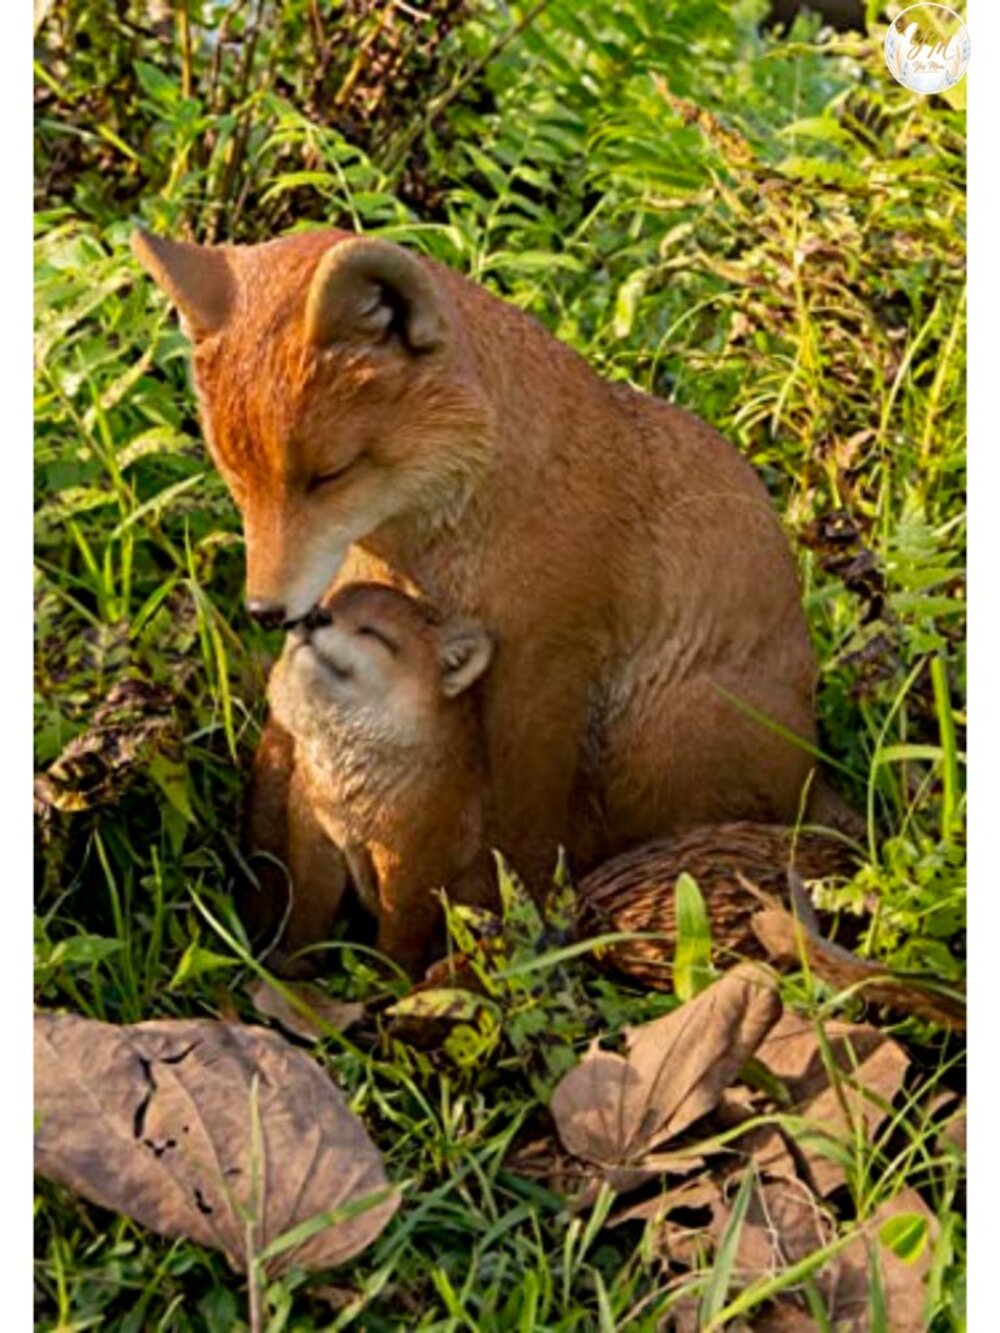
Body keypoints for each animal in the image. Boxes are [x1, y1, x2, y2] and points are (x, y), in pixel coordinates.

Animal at [263, 581, 494, 977]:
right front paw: (295, 964)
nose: (315, 616)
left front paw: (387, 982)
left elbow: (398, 939)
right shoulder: (315, 838)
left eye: (372, 632)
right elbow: (308, 911)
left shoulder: (410, 868)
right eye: (326, 604)